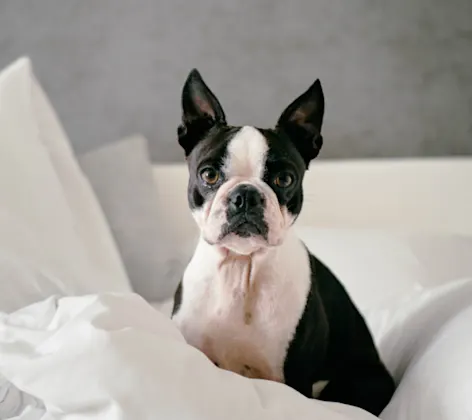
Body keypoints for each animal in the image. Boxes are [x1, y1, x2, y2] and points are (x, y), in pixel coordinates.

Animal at [171, 70, 394, 416]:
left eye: (285, 179)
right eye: (208, 175)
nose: (245, 195)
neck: (241, 266)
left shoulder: (295, 380)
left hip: (358, 383)